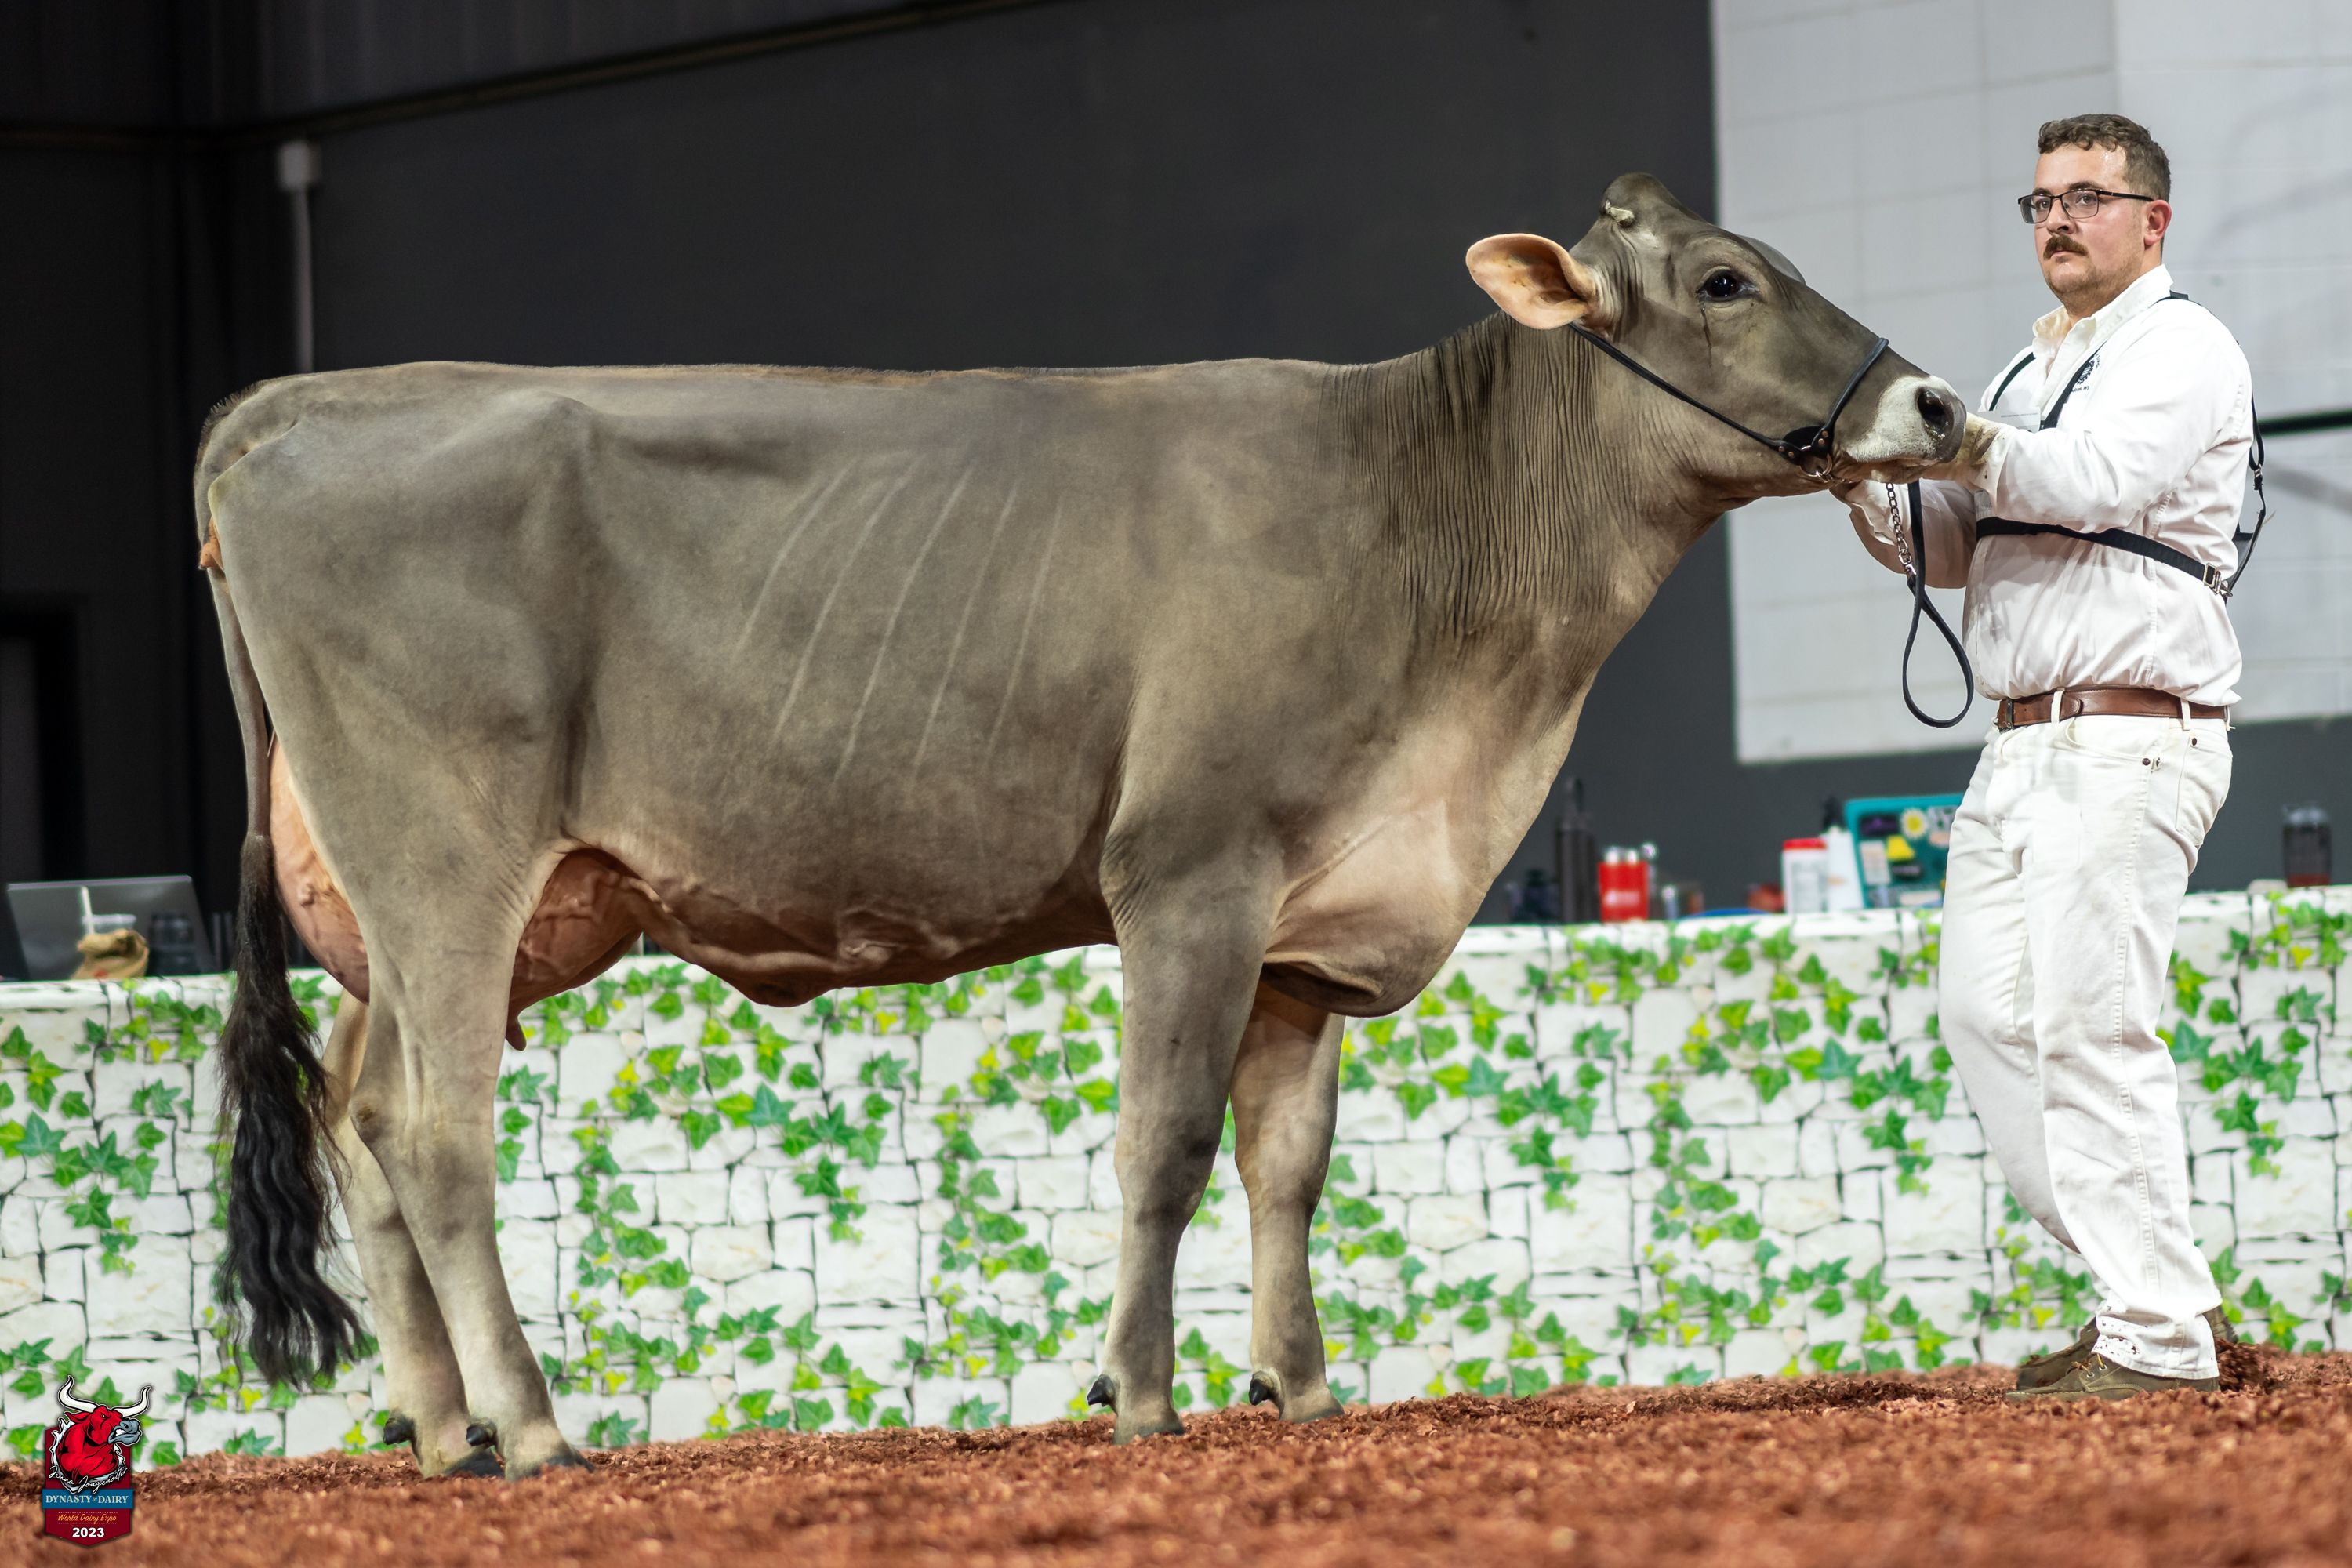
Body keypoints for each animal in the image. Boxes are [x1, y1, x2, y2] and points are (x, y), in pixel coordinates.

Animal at [200, 174, 1962, 1479]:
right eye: (1727, 282)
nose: (1938, 402)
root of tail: (294, 408)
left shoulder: (1310, 921)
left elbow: (1288, 1162)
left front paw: (1298, 1389)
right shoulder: (1193, 871)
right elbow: (1163, 1143)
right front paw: (1145, 1392)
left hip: (424, 911)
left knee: (357, 1117)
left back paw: (443, 1432)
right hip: (447, 856)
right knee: (433, 1128)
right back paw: (537, 1429)